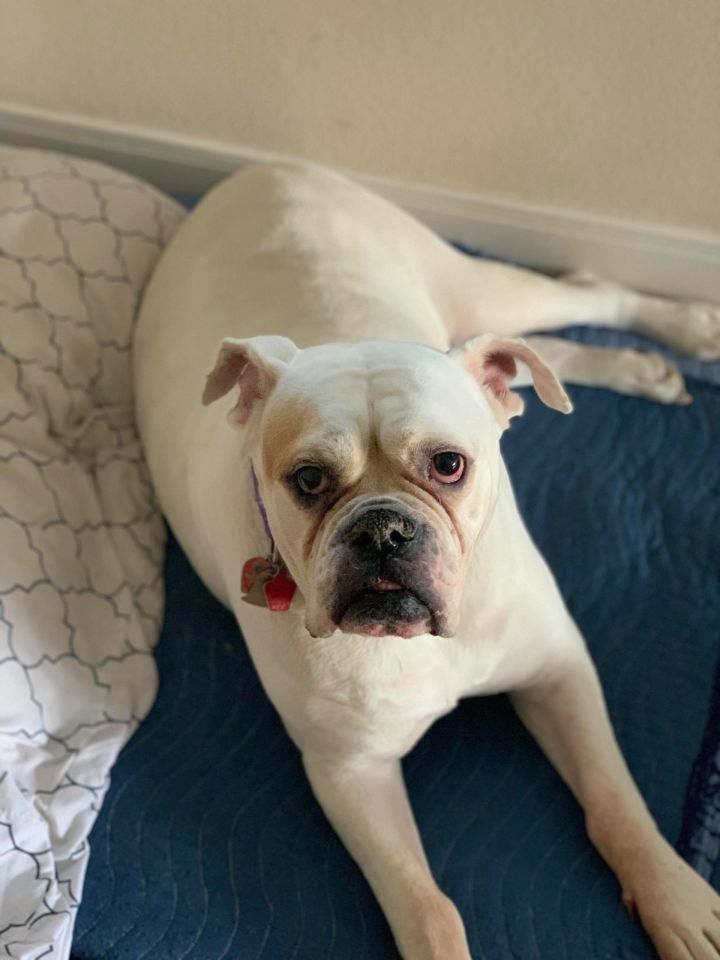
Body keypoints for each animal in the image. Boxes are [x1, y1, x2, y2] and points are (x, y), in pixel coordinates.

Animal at [133, 162, 720, 960]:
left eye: (448, 465)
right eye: (308, 480)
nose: (383, 530)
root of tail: (256, 171)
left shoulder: (560, 671)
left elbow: (615, 802)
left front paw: (677, 900)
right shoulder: (353, 773)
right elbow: (429, 907)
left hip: (479, 287)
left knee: (581, 297)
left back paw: (682, 332)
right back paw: (641, 369)